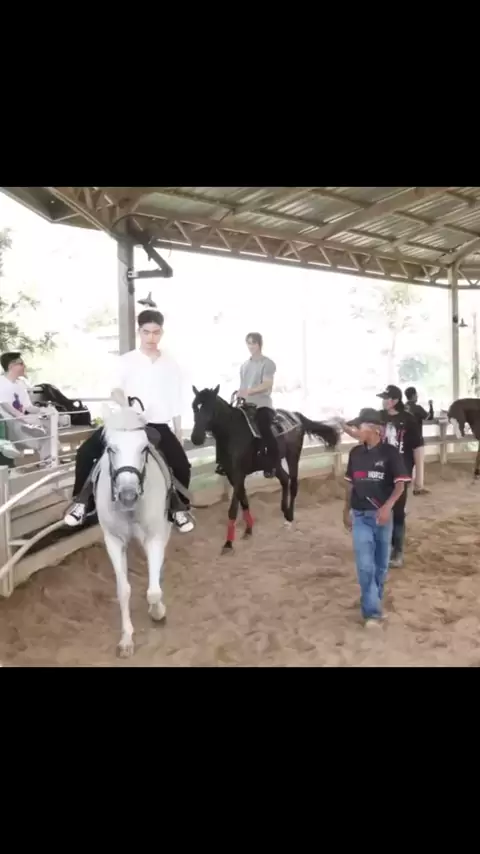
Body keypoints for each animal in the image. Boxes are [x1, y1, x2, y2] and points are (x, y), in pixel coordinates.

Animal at [94, 402, 172, 657]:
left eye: (144, 448)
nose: (128, 495)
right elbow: (123, 590)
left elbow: (154, 591)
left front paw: (157, 612)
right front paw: (126, 639)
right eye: (111, 448)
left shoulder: (155, 536)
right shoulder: (114, 541)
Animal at [191, 385, 340, 552]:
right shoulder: (231, 475)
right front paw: (248, 530)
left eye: (210, 408)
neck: (232, 432)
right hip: (275, 463)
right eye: (194, 407)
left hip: (293, 456)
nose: (196, 438)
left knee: (293, 484)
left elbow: (233, 509)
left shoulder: (238, 474)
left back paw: (289, 517)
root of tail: (295, 416)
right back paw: (284, 510)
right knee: (285, 479)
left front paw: (228, 543)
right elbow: (244, 501)